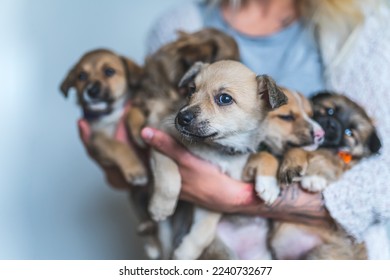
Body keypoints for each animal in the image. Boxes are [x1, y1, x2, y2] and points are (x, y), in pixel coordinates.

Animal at [148, 60, 288, 260]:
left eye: (225, 99)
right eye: (191, 89)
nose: (181, 118)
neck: (220, 148)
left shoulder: (219, 193)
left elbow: (202, 231)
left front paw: (269, 186)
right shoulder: (160, 140)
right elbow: (168, 177)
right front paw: (161, 207)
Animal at [270, 92, 382, 260]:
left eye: (349, 132)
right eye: (330, 111)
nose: (331, 125)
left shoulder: (341, 160)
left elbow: (328, 159)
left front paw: (315, 177)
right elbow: (296, 150)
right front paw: (291, 166)